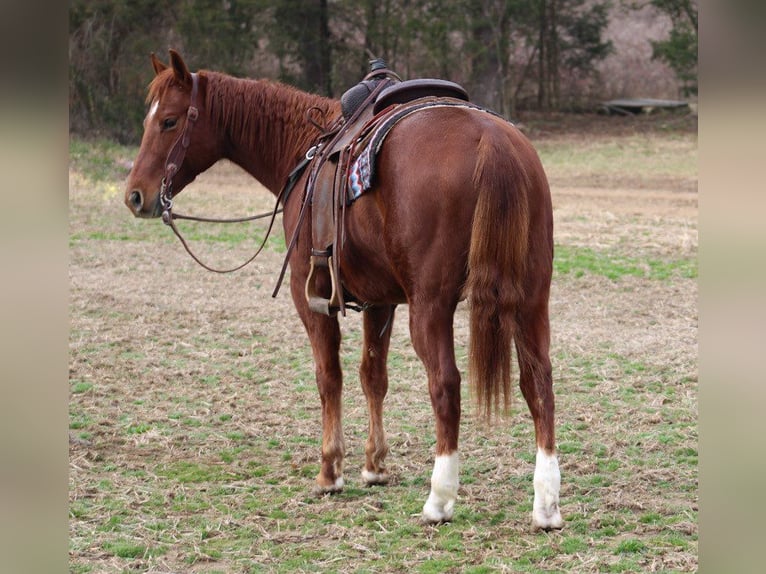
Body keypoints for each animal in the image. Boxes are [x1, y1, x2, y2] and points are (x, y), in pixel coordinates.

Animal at [121, 50, 564, 532]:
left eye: (168, 121)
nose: (135, 196)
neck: (303, 150)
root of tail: (491, 142)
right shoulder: (381, 300)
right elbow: (373, 376)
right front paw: (375, 466)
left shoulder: (310, 297)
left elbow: (328, 376)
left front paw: (330, 470)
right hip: (530, 300)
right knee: (539, 383)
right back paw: (546, 504)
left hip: (431, 306)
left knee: (446, 385)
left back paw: (439, 499)